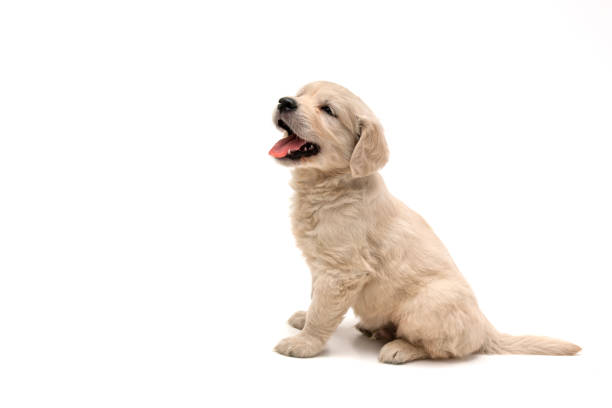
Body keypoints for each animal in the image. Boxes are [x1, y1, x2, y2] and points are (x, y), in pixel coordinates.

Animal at [268, 81, 580, 362]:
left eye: (328, 110)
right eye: (300, 94)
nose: (285, 101)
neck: (327, 185)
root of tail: (486, 329)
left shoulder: (342, 271)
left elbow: (322, 311)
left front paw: (304, 343)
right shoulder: (321, 266)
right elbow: (315, 298)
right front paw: (304, 319)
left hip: (425, 306)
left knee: (445, 349)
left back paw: (399, 348)